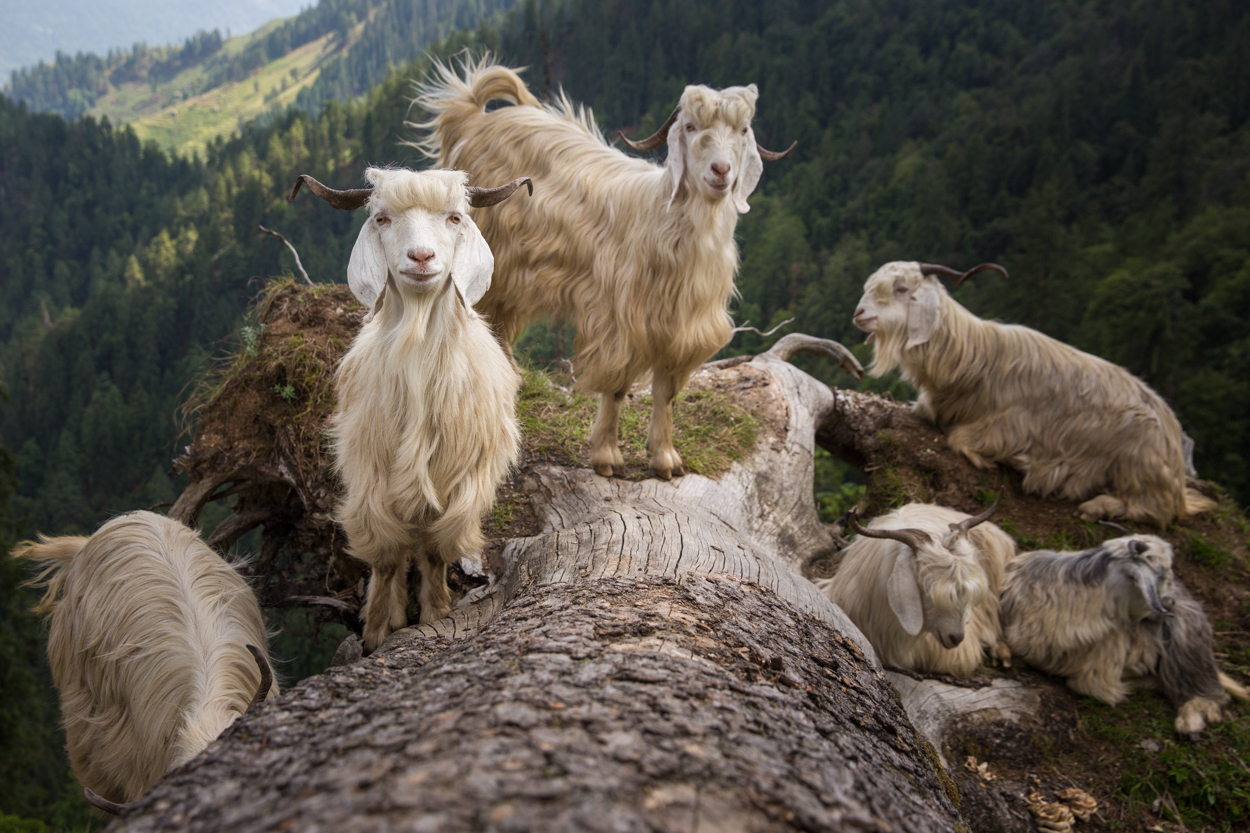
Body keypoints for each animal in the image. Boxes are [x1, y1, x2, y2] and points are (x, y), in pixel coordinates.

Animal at [291, 167, 528, 651]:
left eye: (455, 217)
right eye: (382, 218)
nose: (421, 257)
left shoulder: (462, 480)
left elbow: (436, 551)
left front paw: (436, 612)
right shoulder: (370, 478)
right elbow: (385, 558)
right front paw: (379, 628)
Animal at [415, 56, 800, 480]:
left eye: (743, 130)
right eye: (690, 127)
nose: (720, 171)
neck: (665, 220)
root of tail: (473, 117)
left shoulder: (681, 330)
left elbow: (666, 393)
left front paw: (665, 458)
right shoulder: (622, 321)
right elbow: (616, 388)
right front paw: (606, 456)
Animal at [852, 261, 1215, 526]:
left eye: (901, 288)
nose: (859, 313)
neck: (973, 357)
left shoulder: (1009, 427)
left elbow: (961, 439)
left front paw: (1002, 461)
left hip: (1139, 461)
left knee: (1156, 509)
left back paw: (1098, 507)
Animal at [1000, 529, 1248, 737]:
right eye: (1161, 573)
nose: (1171, 603)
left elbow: (1090, 686)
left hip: (1186, 644)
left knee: (1210, 692)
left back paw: (1189, 721)